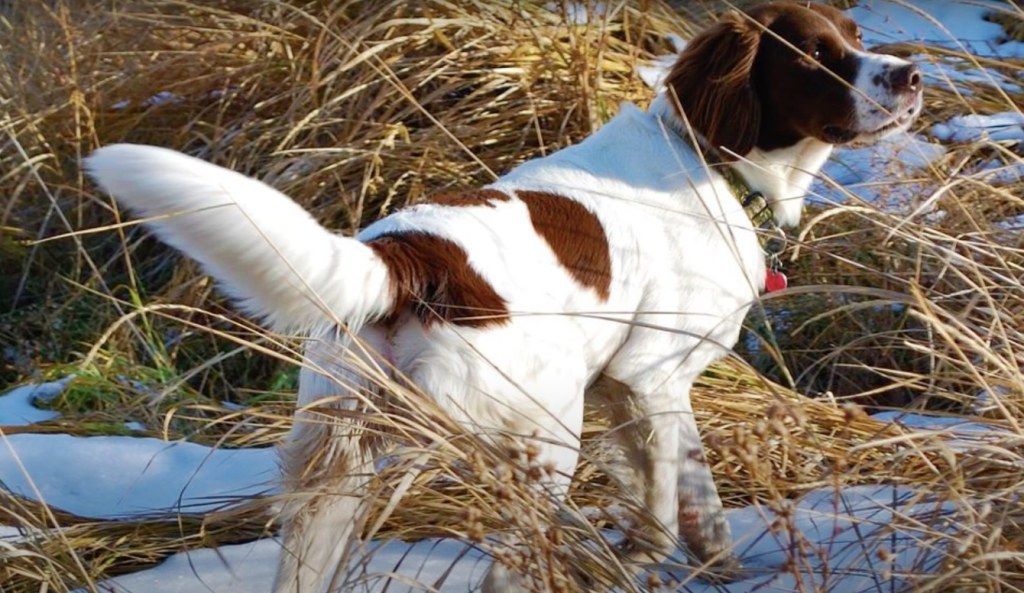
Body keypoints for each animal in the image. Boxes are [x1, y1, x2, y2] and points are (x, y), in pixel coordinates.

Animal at [86, 2, 921, 589]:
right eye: (814, 56)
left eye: (855, 32)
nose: (911, 75)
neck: (710, 162)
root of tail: (403, 257)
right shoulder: (649, 375)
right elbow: (671, 505)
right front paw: (653, 560)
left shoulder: (621, 386)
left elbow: (682, 502)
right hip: (543, 436)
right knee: (508, 567)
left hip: (337, 465)